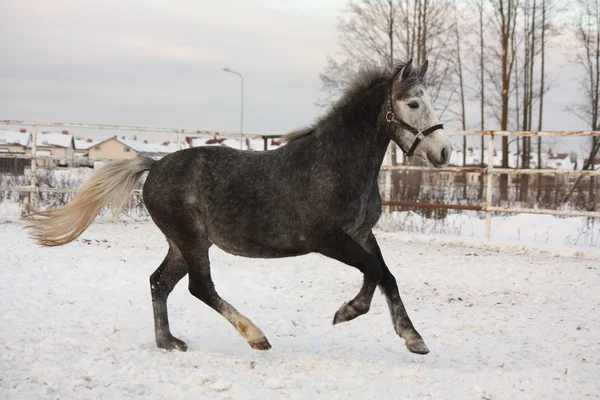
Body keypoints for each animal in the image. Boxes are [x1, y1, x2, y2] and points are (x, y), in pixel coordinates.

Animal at [27, 58, 450, 354]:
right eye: (414, 103)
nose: (444, 152)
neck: (336, 164)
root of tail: (155, 165)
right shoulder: (327, 239)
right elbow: (373, 271)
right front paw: (346, 312)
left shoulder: (362, 234)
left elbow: (386, 275)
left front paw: (413, 338)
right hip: (192, 241)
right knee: (199, 286)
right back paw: (255, 336)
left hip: (183, 243)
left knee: (159, 282)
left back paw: (169, 342)